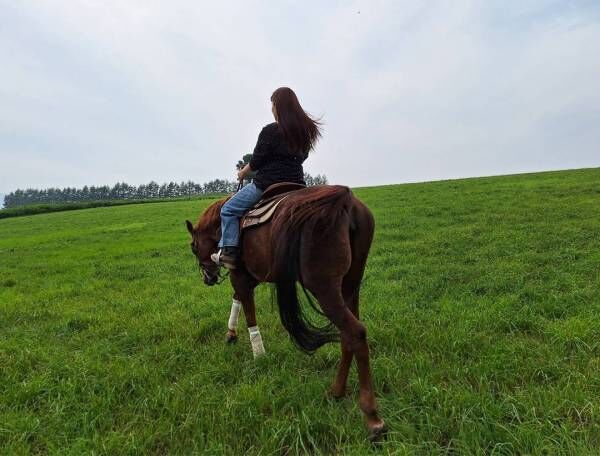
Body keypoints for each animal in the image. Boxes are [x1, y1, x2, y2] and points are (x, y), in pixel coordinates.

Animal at [185, 183, 386, 440]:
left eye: (193, 247)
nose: (208, 278)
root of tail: (345, 204)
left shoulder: (239, 275)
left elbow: (249, 312)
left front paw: (258, 354)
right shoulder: (251, 277)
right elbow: (238, 300)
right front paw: (231, 334)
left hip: (325, 288)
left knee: (356, 332)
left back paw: (372, 417)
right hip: (350, 285)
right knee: (347, 336)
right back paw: (336, 391)